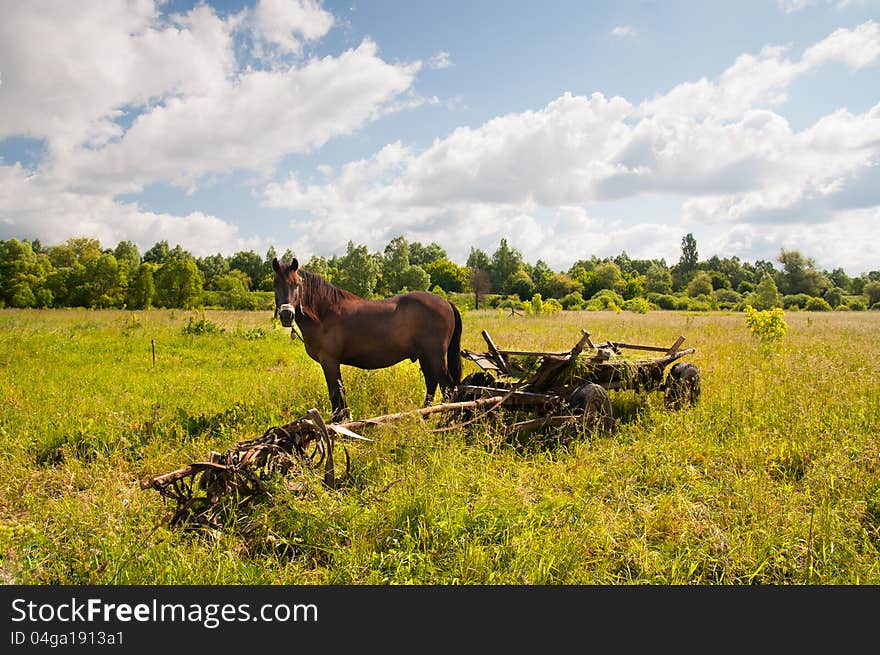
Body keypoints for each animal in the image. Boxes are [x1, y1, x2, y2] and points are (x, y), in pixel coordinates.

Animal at [272, 256, 464, 420]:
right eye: (275, 285)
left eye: (297, 284)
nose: (287, 315)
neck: (324, 313)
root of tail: (446, 303)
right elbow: (339, 394)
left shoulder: (330, 362)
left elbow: (336, 395)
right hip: (426, 357)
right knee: (432, 384)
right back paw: (424, 416)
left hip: (435, 357)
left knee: (447, 389)